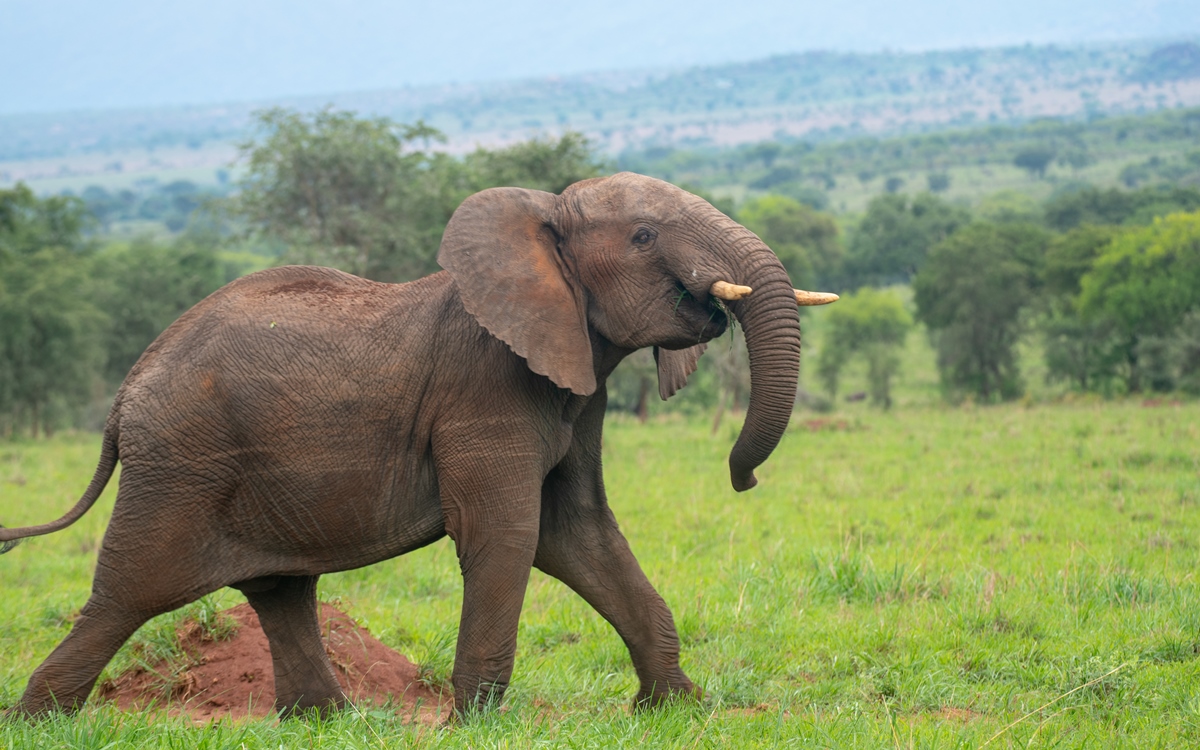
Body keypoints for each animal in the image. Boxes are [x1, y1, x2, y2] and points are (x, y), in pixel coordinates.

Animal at [0, 172, 840, 715]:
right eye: (642, 236)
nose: (742, 480)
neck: (535, 228)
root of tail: (126, 391)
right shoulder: (486, 390)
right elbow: (509, 536)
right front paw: (477, 724)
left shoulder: (578, 389)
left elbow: (582, 534)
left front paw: (677, 709)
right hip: (179, 467)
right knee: (127, 595)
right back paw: (40, 721)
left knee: (281, 591)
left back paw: (327, 720)